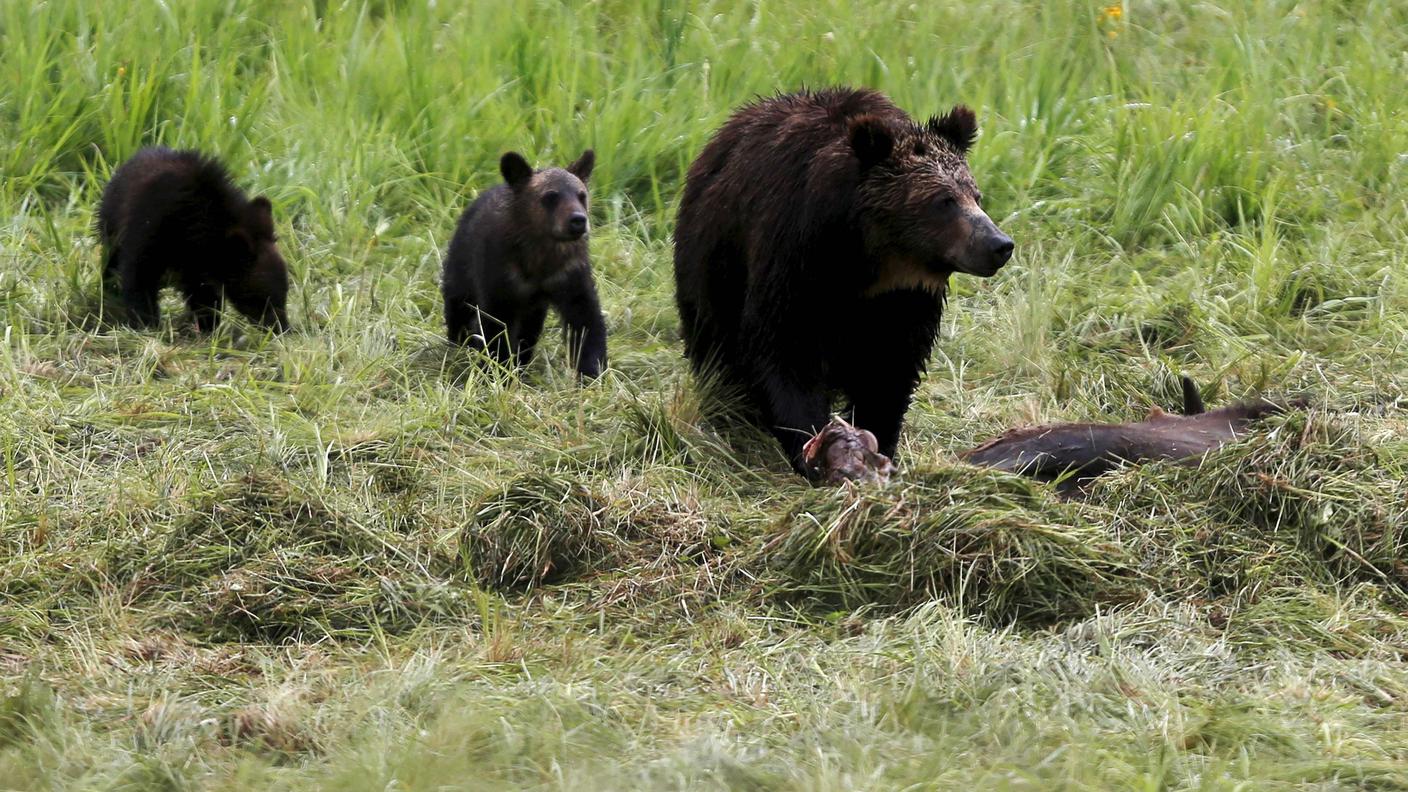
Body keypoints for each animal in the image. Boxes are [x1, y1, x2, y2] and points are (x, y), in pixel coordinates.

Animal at [99, 146, 291, 331]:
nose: (283, 328)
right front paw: (145, 323)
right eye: (259, 299)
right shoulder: (149, 231)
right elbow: (139, 276)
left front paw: (207, 324)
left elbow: (203, 293)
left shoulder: (196, 261)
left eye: (285, 293)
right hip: (110, 227)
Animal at [442, 152, 608, 380]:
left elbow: (586, 319)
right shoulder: (500, 276)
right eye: (550, 196)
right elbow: (496, 326)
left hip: (534, 306)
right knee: (458, 307)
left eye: (581, 195)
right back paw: (458, 345)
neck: (540, 258)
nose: (578, 220)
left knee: (529, 329)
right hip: (461, 267)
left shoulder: (569, 274)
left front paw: (592, 372)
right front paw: (497, 372)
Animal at [673, 89, 1013, 479]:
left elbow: (890, 367)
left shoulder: (904, 300)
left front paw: (877, 441)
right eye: (943, 201)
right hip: (712, 266)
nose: (999, 244)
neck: (865, 260)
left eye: (976, 195)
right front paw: (813, 447)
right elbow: (786, 351)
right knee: (715, 349)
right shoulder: (792, 260)